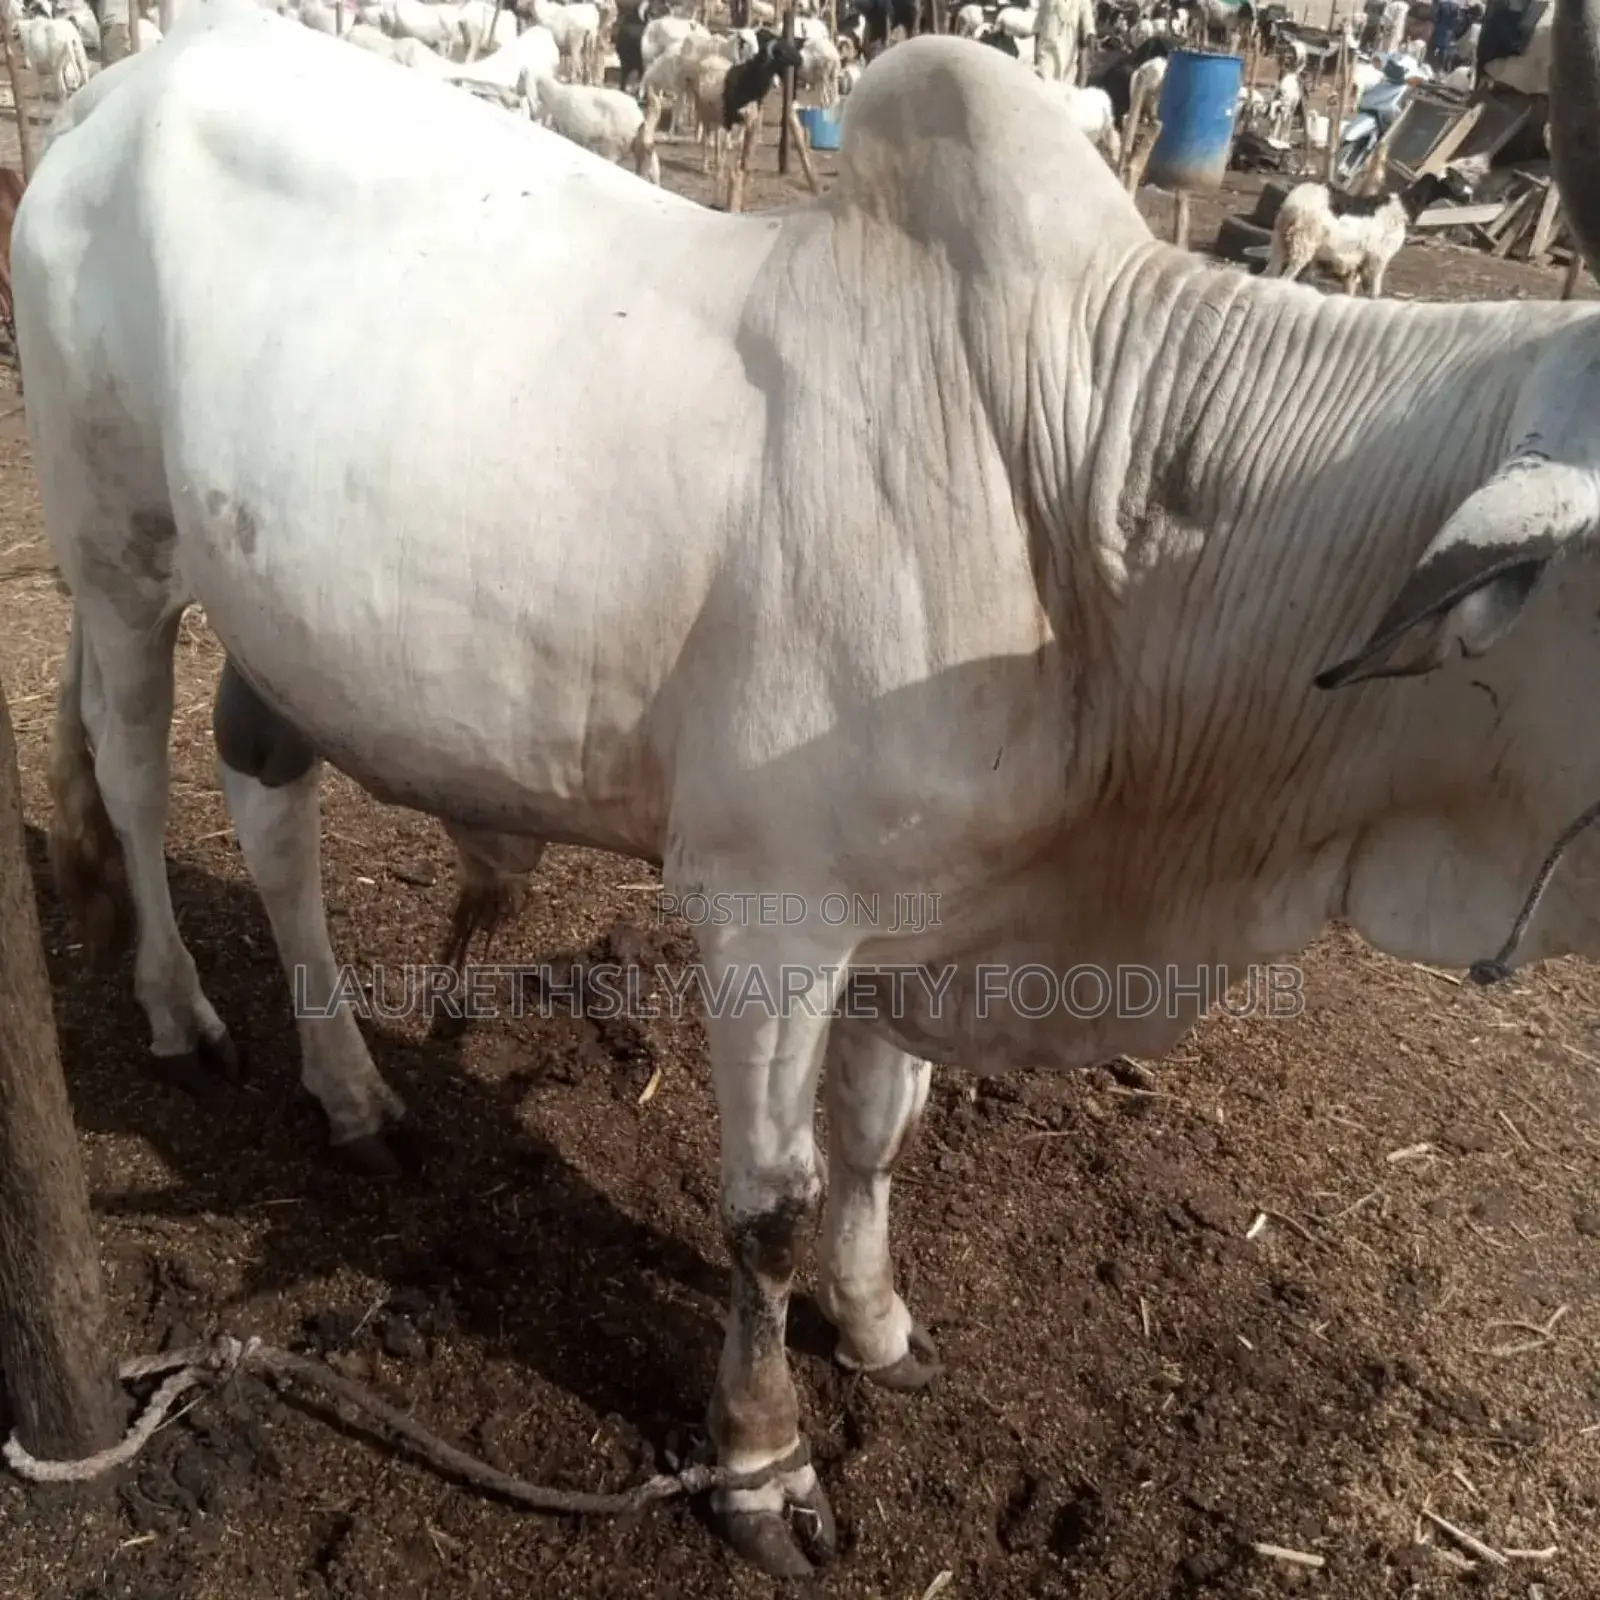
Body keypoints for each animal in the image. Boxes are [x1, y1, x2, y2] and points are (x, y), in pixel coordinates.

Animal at [16, 0, 1600, 1578]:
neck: (1083, 490)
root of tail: (127, 83)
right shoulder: (767, 917)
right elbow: (766, 1207)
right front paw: (763, 1460)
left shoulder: (917, 907)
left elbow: (876, 1135)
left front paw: (877, 1322)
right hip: (116, 553)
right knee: (133, 773)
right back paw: (181, 1011)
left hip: (276, 612)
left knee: (269, 807)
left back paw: (349, 1086)